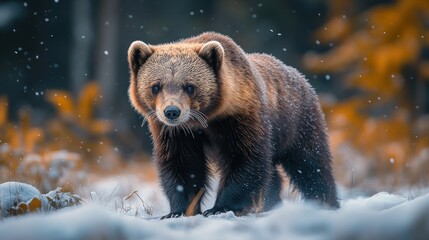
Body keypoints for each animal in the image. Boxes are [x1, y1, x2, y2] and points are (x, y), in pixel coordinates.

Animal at [126, 31, 338, 218]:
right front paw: (179, 210)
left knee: (311, 164)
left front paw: (219, 207)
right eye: (155, 86)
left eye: (189, 86)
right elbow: (182, 163)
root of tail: (301, 77)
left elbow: (244, 159)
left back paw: (326, 202)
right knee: (275, 174)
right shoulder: (176, 133)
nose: (171, 111)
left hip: (298, 123)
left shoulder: (240, 120)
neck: (206, 119)